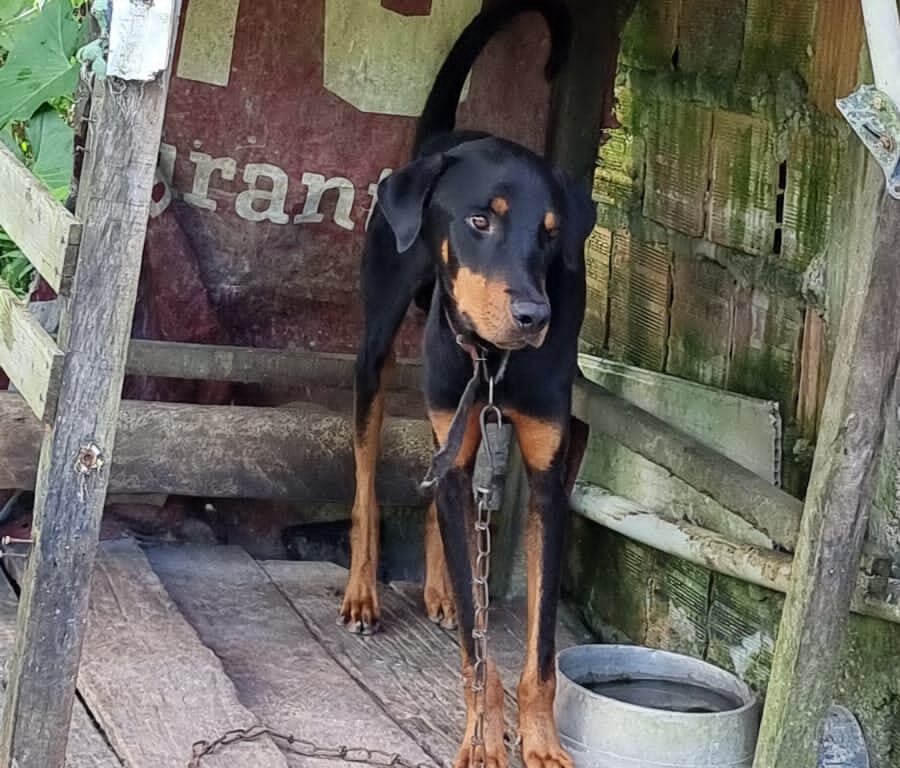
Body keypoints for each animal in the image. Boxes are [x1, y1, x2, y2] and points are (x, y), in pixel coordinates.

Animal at [342, 3, 596, 764]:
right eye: (479, 220)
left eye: (551, 234)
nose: (535, 316)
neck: (494, 360)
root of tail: (440, 141)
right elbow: (479, 657)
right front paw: (483, 739)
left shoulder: (546, 476)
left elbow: (539, 650)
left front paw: (539, 742)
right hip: (376, 353)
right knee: (367, 478)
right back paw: (363, 592)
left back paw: (443, 593)